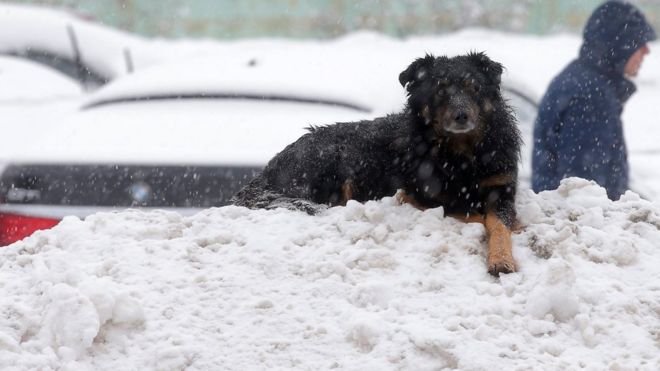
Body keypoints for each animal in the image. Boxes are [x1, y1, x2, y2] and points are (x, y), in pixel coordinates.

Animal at [232, 52, 520, 274]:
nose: (462, 115)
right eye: (440, 90)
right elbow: (475, 216)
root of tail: (266, 174)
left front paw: (502, 259)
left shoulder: (501, 189)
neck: (461, 155)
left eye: (475, 88)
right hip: (330, 156)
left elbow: (497, 223)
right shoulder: (420, 195)